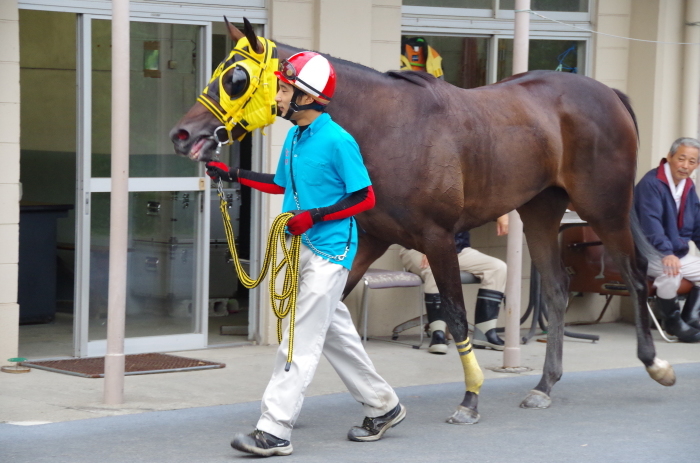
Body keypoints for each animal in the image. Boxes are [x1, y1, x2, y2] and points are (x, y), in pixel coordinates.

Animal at [167, 20, 676, 426]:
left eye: (235, 76)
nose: (183, 134)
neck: (386, 127)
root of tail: (610, 93)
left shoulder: (438, 238)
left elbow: (455, 315)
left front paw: (469, 399)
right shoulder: (369, 239)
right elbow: (331, 315)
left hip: (604, 207)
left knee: (633, 274)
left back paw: (655, 363)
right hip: (541, 210)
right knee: (555, 286)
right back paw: (545, 385)